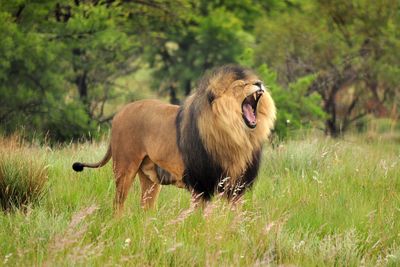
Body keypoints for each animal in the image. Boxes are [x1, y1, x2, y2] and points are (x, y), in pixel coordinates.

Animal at [72, 66, 276, 215]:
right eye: (240, 85)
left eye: (254, 81)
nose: (260, 83)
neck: (237, 137)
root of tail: (119, 113)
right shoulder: (200, 185)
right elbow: (201, 217)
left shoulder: (237, 187)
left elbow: (235, 216)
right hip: (124, 167)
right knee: (118, 203)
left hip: (149, 178)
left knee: (145, 206)